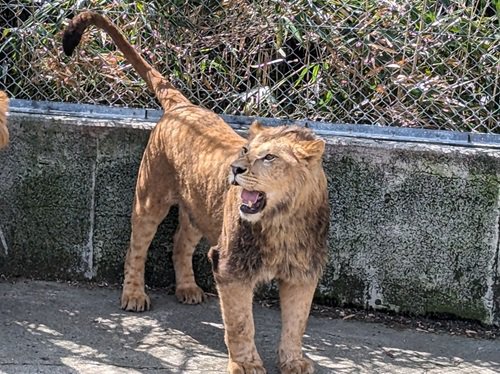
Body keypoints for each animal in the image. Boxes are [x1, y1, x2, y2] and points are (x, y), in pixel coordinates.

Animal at [62, 10, 330, 372]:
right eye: (245, 150)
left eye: (269, 157)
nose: (235, 169)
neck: (281, 220)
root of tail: (182, 107)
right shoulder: (230, 268)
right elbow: (241, 324)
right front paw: (246, 364)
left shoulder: (303, 273)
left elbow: (296, 323)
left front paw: (293, 361)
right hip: (150, 199)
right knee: (136, 248)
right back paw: (133, 295)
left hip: (198, 210)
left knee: (179, 244)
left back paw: (187, 288)